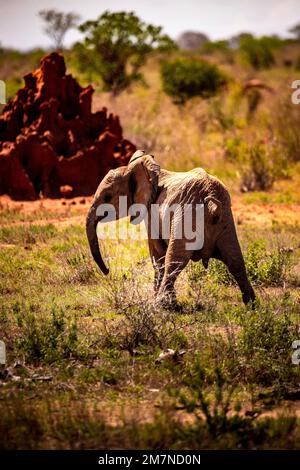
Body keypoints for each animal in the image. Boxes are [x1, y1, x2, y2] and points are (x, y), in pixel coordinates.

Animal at [86, 151, 255, 308]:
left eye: (107, 197)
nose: (107, 271)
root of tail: (213, 205)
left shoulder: (151, 212)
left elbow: (158, 254)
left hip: (189, 219)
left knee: (174, 261)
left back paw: (161, 305)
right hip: (225, 221)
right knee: (235, 259)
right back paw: (251, 306)